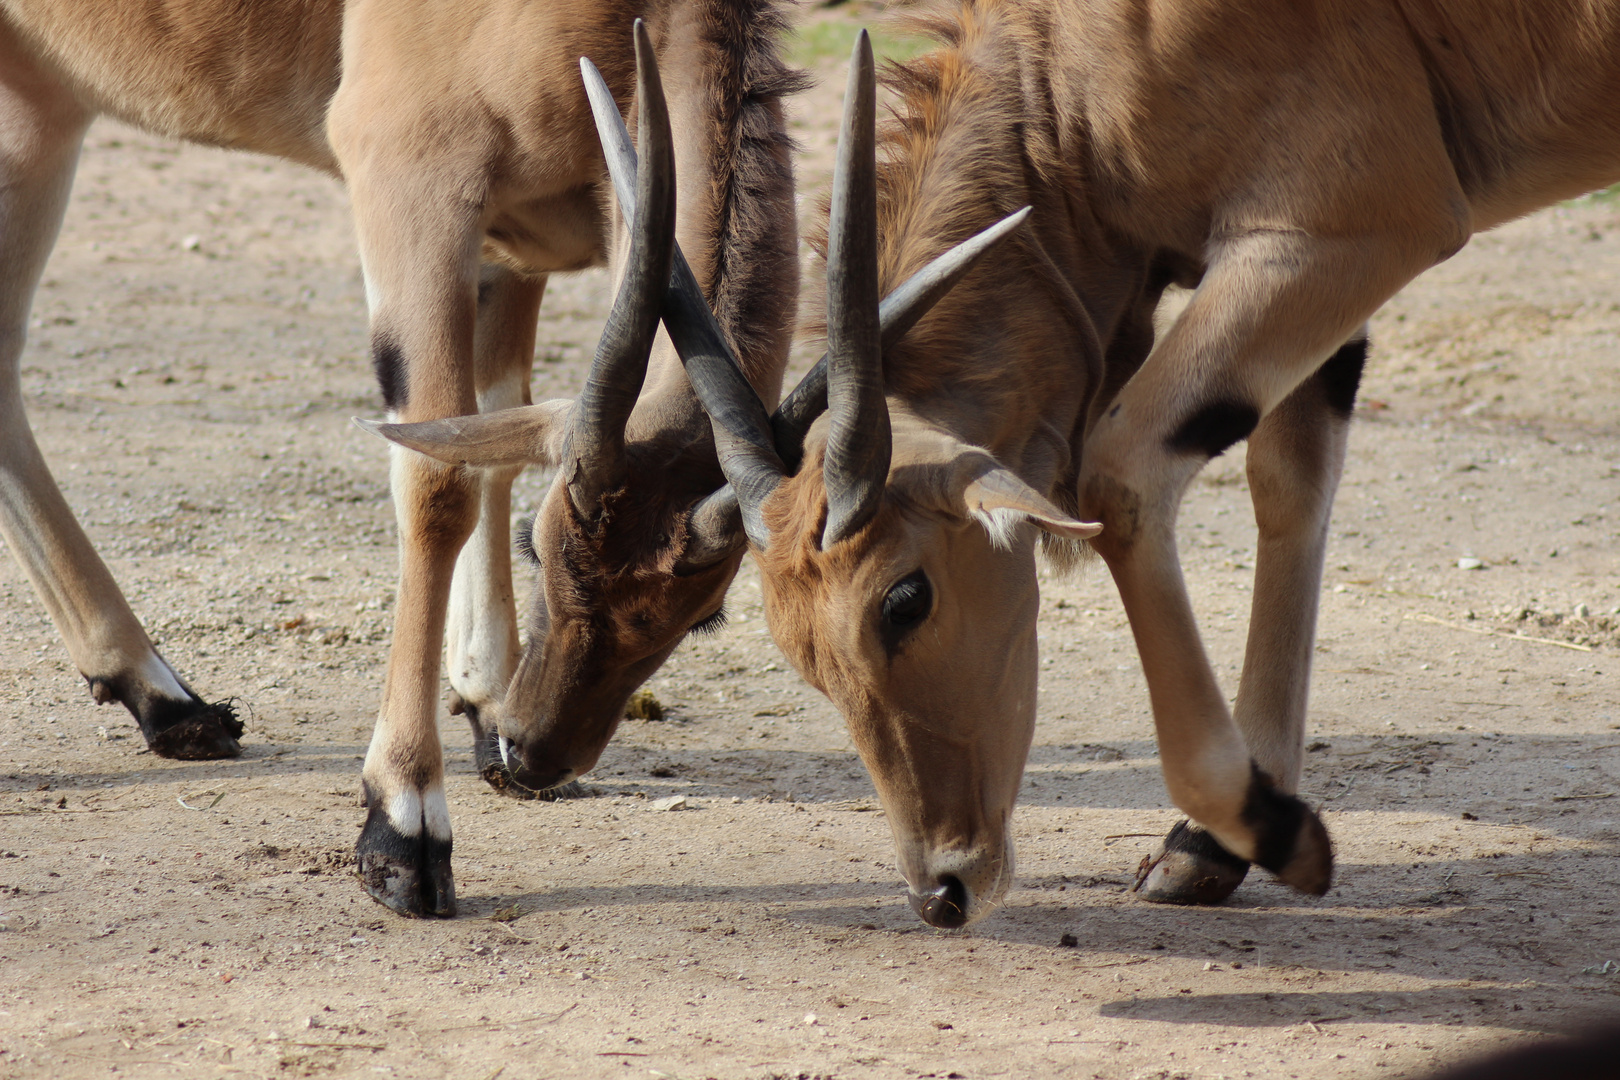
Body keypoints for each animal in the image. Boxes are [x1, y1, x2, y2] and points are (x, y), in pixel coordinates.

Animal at [0, 2, 806, 919]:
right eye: (546, 549)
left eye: (703, 612)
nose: (539, 757)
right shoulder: (411, 177)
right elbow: (440, 479)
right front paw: (406, 825)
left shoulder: (506, 248)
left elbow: (489, 434)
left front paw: (484, 705)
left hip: (42, 106)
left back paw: (167, 701)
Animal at [683, 2, 1620, 932]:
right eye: (797, 649)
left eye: (905, 597)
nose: (941, 890)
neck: (1063, 94)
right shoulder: (1301, 259)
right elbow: (1289, 483)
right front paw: (1216, 843)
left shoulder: (1343, 226)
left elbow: (1123, 475)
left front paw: (1265, 830)